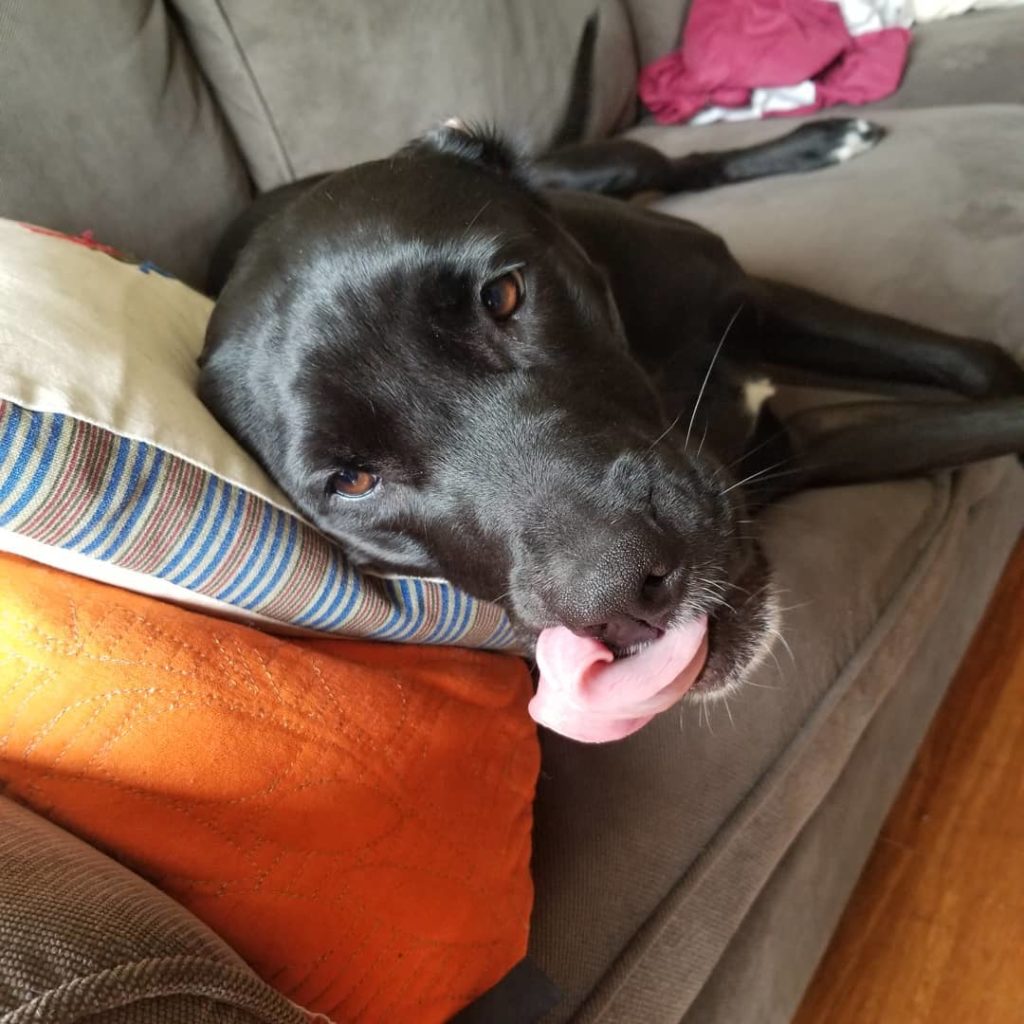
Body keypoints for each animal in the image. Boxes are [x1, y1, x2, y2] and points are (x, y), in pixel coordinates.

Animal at [197, 116, 1024, 700]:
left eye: (503, 295)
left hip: (613, 166)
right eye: (352, 481)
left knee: (680, 163)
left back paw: (825, 138)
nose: (620, 595)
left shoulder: (758, 305)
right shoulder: (804, 446)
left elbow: (980, 365)